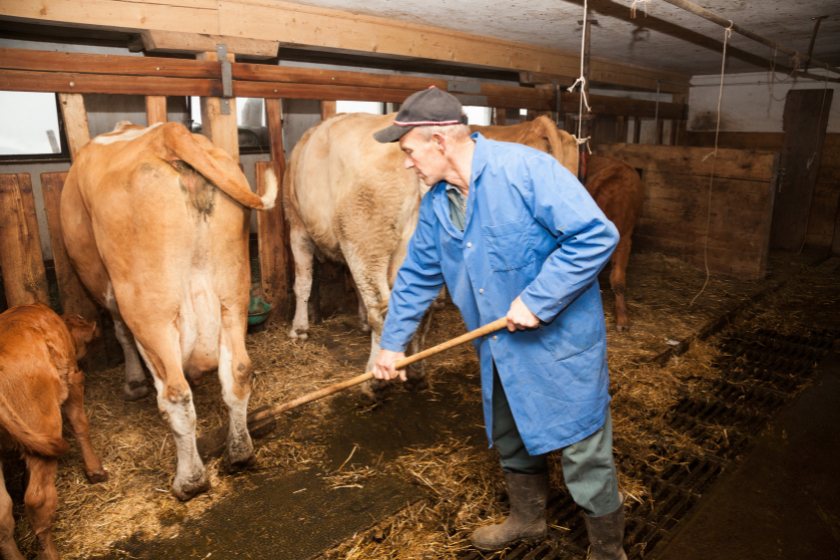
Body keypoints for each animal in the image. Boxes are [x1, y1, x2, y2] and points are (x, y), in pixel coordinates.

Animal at [0, 304, 108, 560]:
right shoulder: (74, 379)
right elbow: (80, 424)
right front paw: (95, 470)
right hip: (44, 422)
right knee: (38, 499)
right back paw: (50, 553)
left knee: (2, 513)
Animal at [64, 121, 278, 498]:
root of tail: (170, 131)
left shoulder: (109, 289)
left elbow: (120, 332)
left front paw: (134, 384)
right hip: (232, 293)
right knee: (238, 371)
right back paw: (239, 453)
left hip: (149, 309)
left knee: (176, 394)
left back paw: (189, 481)